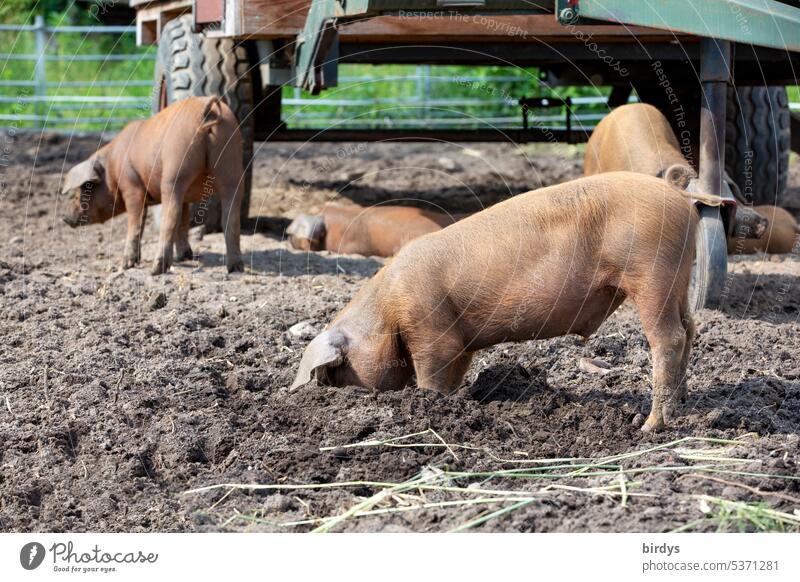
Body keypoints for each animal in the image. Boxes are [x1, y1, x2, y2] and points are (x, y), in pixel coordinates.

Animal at [61, 96, 244, 276]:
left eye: (81, 191)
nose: (64, 217)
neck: (112, 168)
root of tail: (206, 111)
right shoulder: (183, 197)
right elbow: (181, 223)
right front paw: (183, 257)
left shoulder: (132, 187)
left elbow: (136, 224)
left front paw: (125, 266)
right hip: (232, 165)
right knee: (230, 217)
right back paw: (235, 268)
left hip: (175, 171)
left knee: (170, 217)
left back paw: (155, 270)